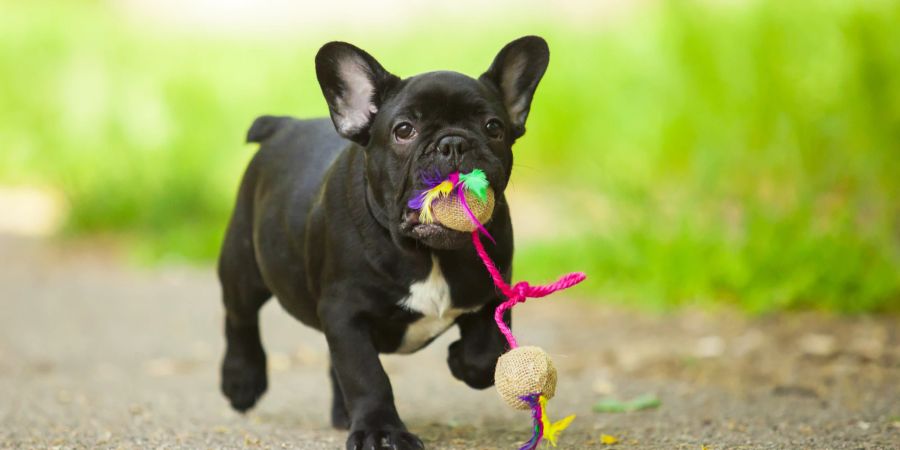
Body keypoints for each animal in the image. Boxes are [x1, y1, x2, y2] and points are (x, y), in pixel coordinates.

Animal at [220, 36, 548, 450]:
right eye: (404, 130)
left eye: (494, 127)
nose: (454, 143)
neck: (431, 254)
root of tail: (283, 125)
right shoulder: (345, 312)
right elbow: (366, 374)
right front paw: (380, 431)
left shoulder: (492, 291)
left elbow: (486, 351)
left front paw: (462, 359)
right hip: (244, 264)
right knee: (239, 316)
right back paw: (241, 381)